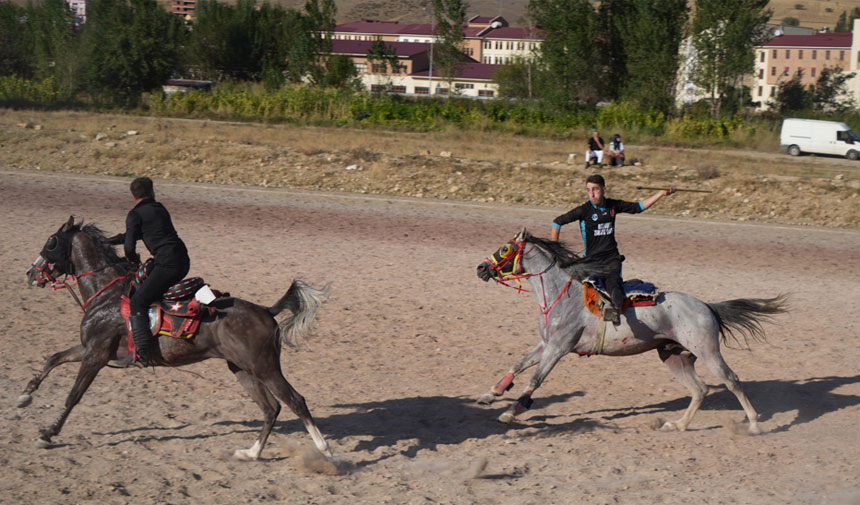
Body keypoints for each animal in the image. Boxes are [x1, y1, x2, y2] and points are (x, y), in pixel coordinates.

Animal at [478, 228, 788, 434]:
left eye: (505, 249)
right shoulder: (546, 344)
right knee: (700, 390)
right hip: (674, 356)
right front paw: (492, 393)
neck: (562, 295)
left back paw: (754, 424)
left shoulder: (559, 348)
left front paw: (510, 412)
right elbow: (518, 364)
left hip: (708, 351)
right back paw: (677, 425)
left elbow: (535, 378)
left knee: (731, 380)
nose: (481, 268)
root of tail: (707, 307)